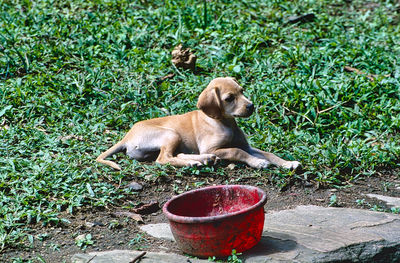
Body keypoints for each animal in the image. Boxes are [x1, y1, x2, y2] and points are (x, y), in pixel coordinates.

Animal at [96, 77, 300, 171]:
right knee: (163, 159)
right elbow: (237, 151)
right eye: (229, 98)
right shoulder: (214, 147)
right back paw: (194, 162)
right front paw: (257, 162)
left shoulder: (245, 145)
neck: (224, 122)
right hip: (171, 134)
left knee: (175, 155)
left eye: (242, 91)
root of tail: (127, 136)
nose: (251, 106)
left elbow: (268, 153)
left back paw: (202, 160)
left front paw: (287, 163)